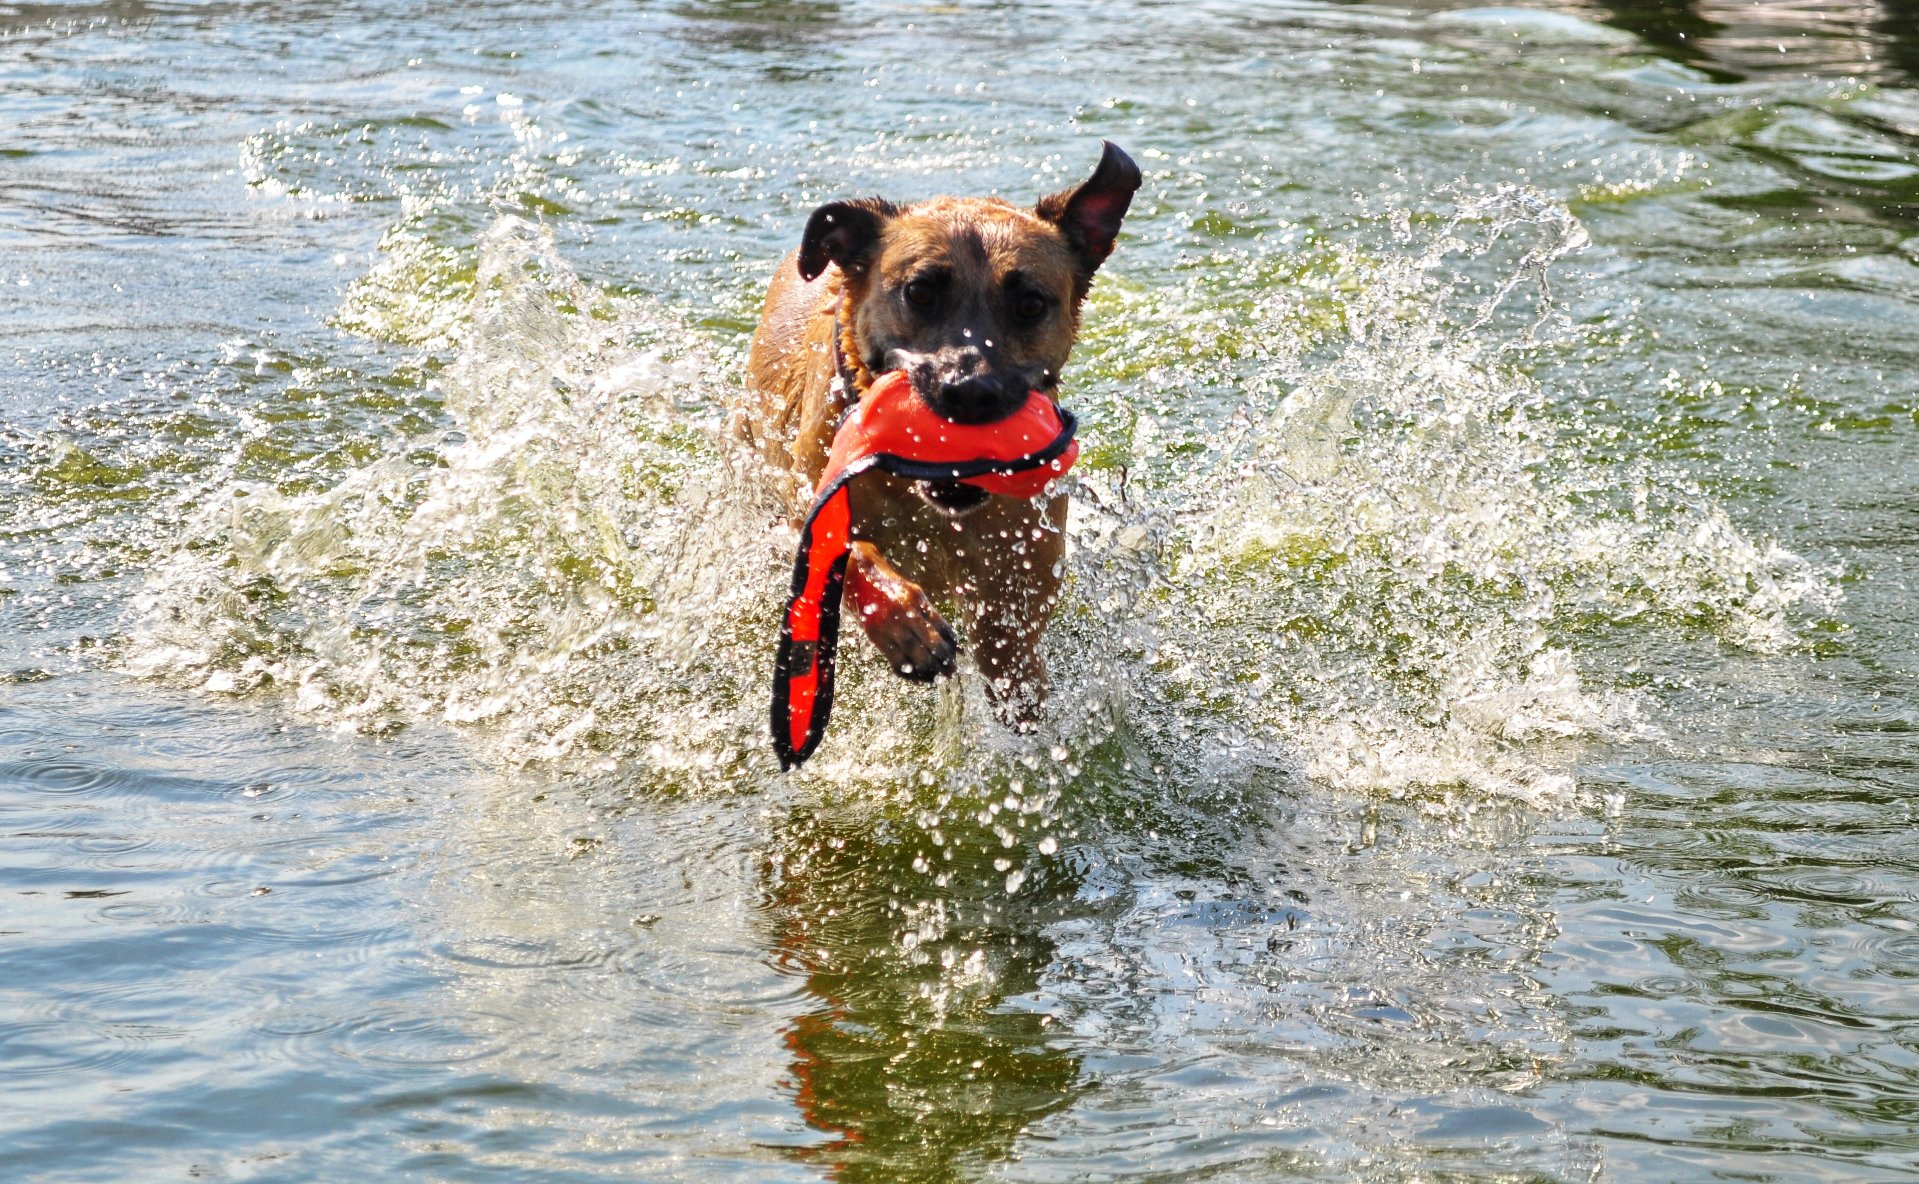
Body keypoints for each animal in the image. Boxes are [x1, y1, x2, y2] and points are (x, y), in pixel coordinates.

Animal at [740, 142, 1136, 725]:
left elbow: (1010, 663)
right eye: (920, 291)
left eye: (1031, 304)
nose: (969, 390)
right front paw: (908, 628)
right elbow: (850, 552)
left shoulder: (1013, 595)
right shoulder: (797, 508)